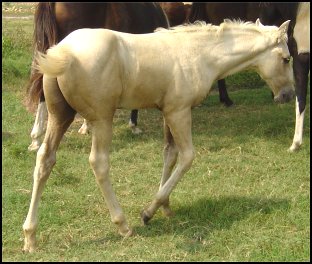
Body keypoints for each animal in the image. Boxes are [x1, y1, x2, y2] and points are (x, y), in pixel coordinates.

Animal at [23, 20, 294, 252]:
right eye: (286, 59)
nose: (288, 95)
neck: (200, 54)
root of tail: (64, 50)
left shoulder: (168, 112)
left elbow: (169, 155)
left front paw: (166, 207)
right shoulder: (180, 112)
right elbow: (187, 157)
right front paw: (148, 212)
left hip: (60, 116)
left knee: (45, 159)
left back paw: (30, 237)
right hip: (101, 120)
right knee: (98, 163)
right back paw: (123, 225)